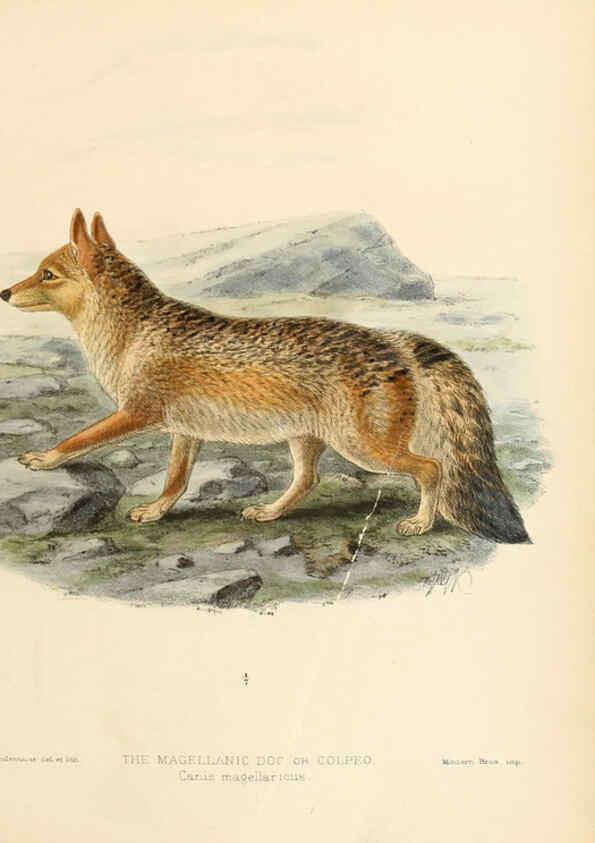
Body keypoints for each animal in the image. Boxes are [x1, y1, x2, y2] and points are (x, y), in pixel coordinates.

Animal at [0, 209, 529, 543]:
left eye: (46, 274)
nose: (4, 292)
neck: (132, 331)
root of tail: (395, 340)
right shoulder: (184, 432)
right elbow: (175, 481)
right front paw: (154, 512)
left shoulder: (136, 413)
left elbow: (77, 439)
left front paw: (43, 459)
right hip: (308, 440)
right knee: (308, 481)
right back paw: (271, 512)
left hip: (364, 449)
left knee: (431, 469)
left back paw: (421, 524)